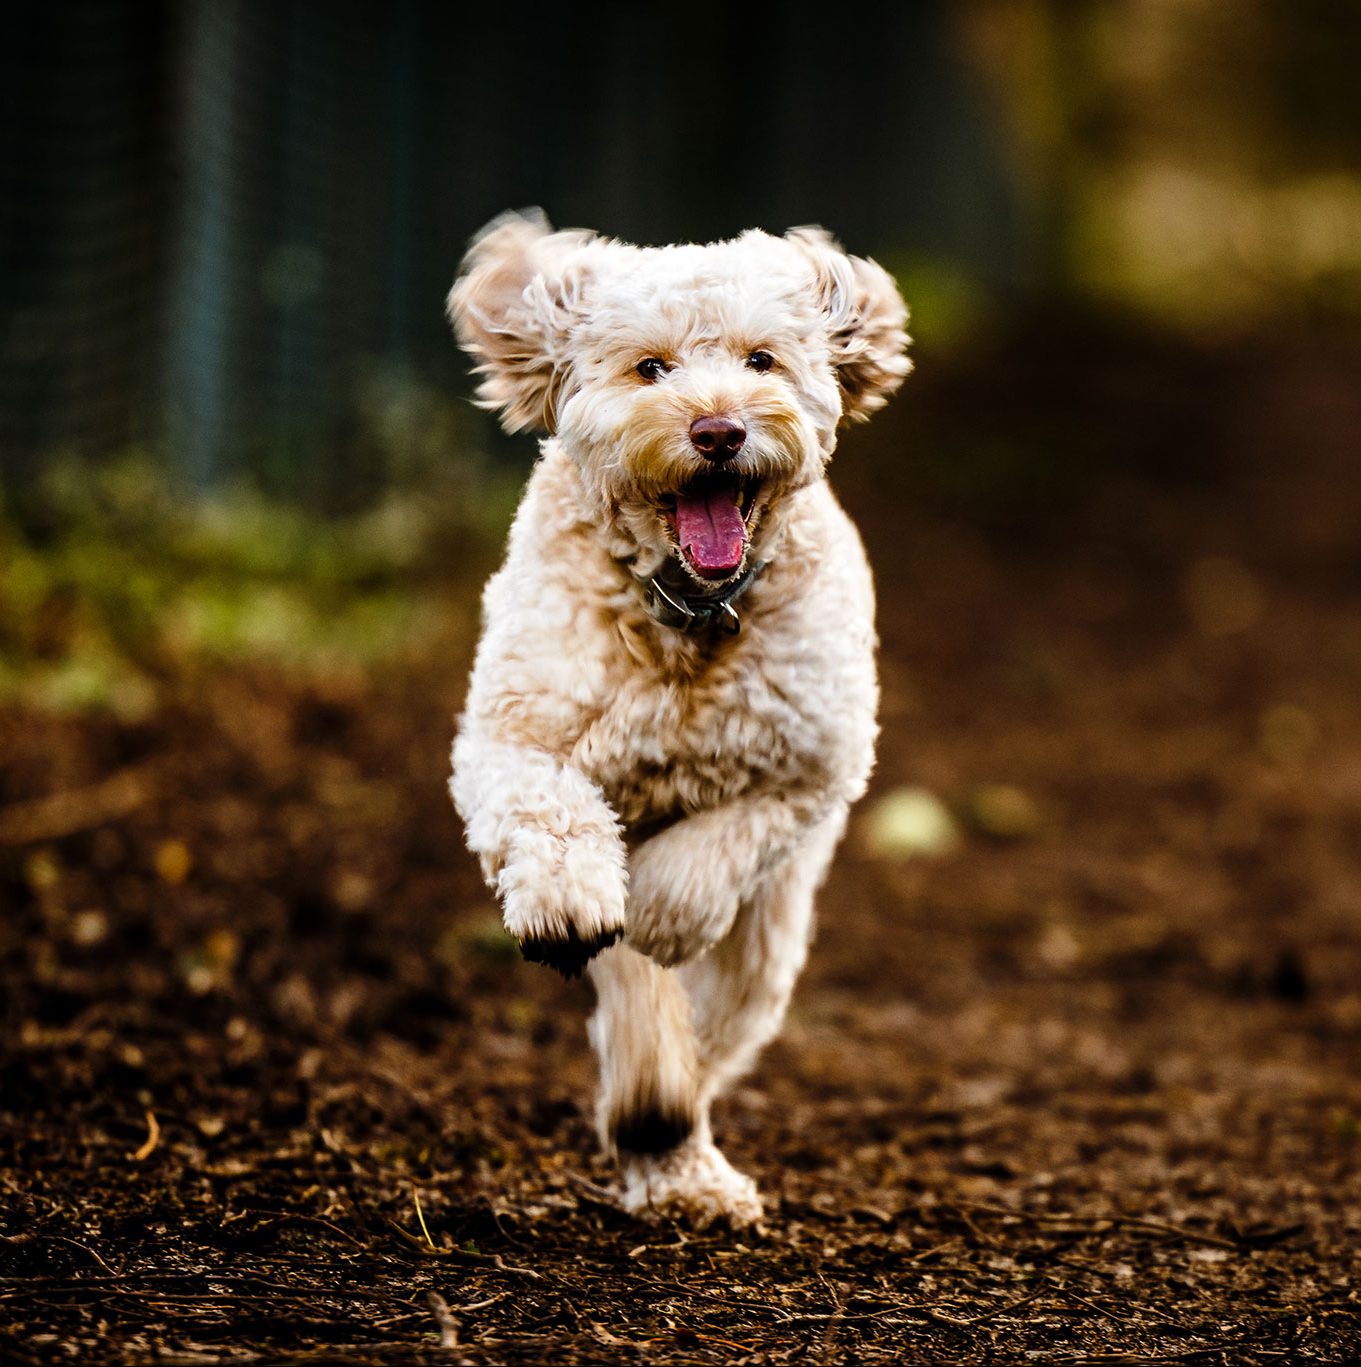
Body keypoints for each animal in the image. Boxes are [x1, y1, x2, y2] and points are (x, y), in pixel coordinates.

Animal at [450, 210, 907, 1230]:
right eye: (649, 368)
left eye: (761, 359)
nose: (718, 429)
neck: (687, 612)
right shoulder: (512, 737)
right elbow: (550, 813)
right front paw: (569, 903)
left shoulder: (811, 769)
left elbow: (710, 856)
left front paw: (657, 904)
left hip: (766, 946)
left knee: (700, 1024)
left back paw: (674, 1148)